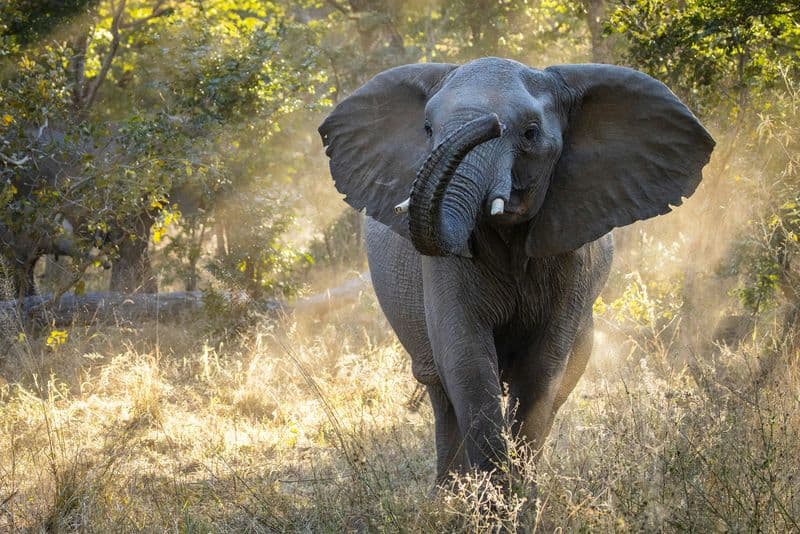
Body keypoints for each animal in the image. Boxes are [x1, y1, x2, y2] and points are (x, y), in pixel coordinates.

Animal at [319, 58, 714, 486]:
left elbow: (541, 369)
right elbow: (467, 361)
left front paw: (519, 498)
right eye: (426, 128)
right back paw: (449, 495)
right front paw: (490, 499)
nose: (488, 123)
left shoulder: (572, 255)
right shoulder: (444, 266)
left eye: (530, 133)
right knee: (439, 388)